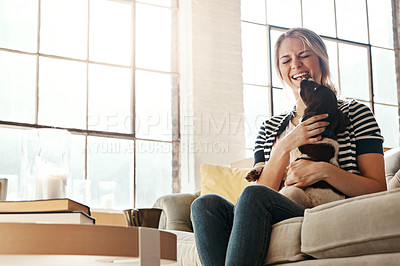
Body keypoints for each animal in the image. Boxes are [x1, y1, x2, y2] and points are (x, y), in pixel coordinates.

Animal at [245, 77, 348, 208]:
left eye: (315, 88)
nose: (306, 78)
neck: (323, 133)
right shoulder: (291, 168)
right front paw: (255, 171)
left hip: (296, 192)